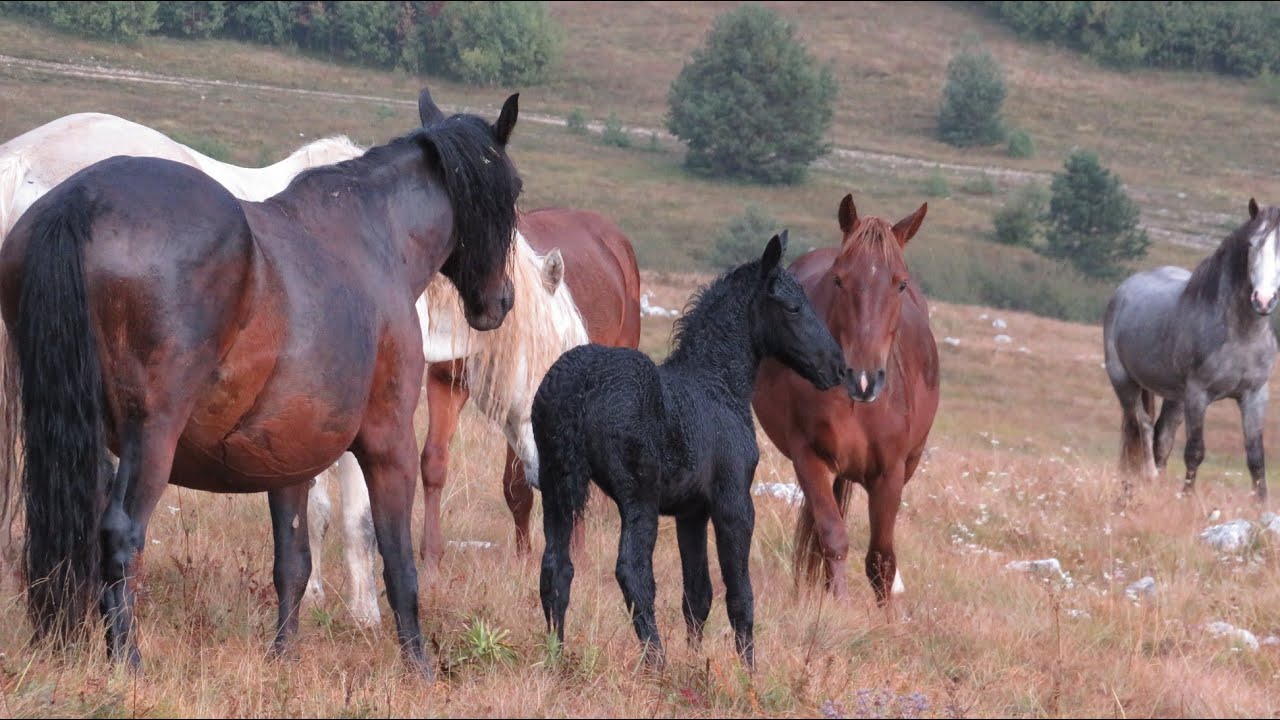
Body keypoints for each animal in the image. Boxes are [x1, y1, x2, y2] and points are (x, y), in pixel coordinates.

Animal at [0, 89, 524, 679]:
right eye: (514, 190)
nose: (498, 302)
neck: (373, 239)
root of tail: (83, 199)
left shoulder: (287, 458)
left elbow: (292, 562)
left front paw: (283, 654)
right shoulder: (389, 443)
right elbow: (396, 561)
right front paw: (419, 667)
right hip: (150, 438)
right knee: (119, 533)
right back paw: (127, 660)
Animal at [533, 231, 850, 669]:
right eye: (793, 306)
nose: (838, 368)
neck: (717, 385)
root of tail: (577, 385)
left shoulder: (691, 513)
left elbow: (697, 594)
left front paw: (697, 663)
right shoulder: (733, 501)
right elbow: (739, 594)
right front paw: (747, 672)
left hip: (556, 484)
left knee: (556, 567)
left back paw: (556, 658)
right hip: (638, 496)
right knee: (633, 572)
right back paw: (656, 664)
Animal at [753, 195, 940, 607]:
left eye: (901, 284)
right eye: (839, 279)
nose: (864, 378)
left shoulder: (891, 473)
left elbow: (881, 559)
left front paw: (887, 619)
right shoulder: (810, 457)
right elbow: (833, 537)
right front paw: (837, 606)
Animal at [1103, 198, 1280, 503]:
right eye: (1251, 244)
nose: (1264, 300)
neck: (1241, 333)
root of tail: (1124, 289)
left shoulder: (1255, 395)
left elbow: (1256, 456)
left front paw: (1262, 504)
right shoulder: (1198, 394)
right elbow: (1195, 450)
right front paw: (1187, 498)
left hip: (1174, 396)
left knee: (1162, 436)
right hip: (1125, 383)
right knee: (1142, 425)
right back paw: (1149, 478)